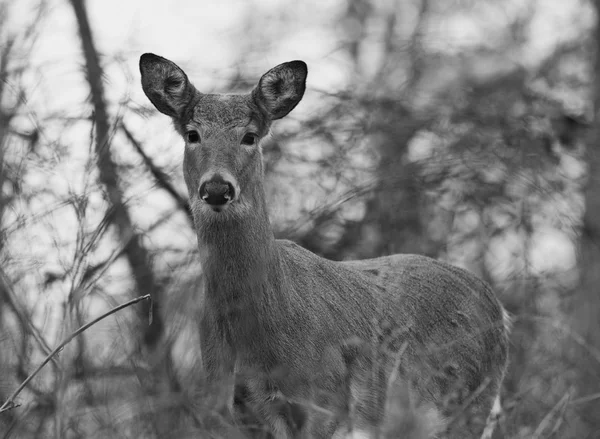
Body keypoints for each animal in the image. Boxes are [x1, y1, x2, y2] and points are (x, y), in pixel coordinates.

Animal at [141, 52, 510, 439]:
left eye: (249, 136)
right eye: (193, 134)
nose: (216, 188)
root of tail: (499, 310)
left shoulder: (325, 398)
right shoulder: (234, 407)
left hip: (469, 401)